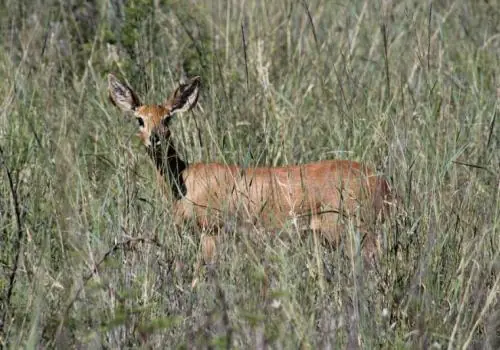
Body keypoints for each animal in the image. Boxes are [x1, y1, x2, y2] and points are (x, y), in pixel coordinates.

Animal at [107, 74, 392, 270]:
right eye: (140, 119)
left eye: (168, 118)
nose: (155, 138)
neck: (183, 181)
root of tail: (384, 185)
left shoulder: (212, 230)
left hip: (358, 231)